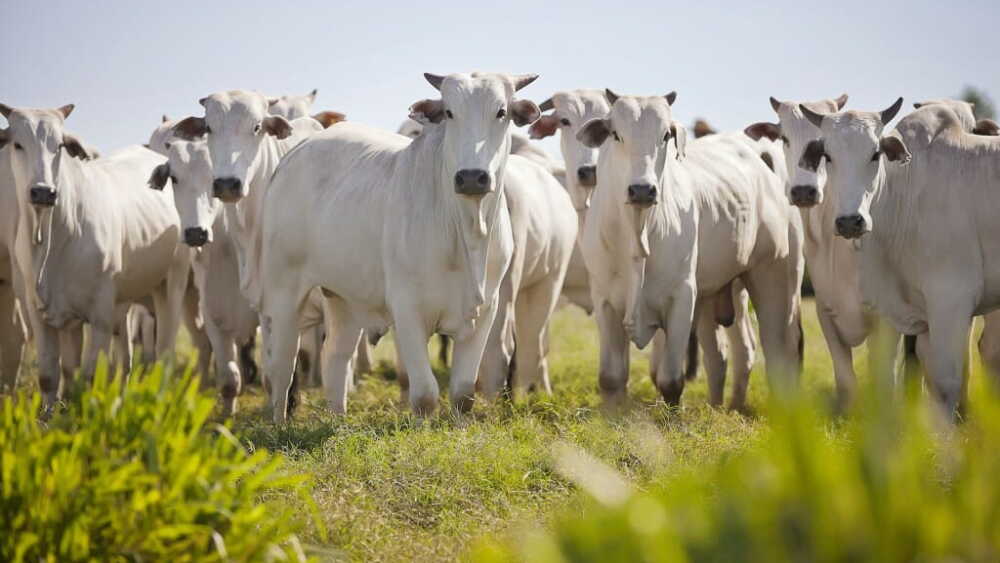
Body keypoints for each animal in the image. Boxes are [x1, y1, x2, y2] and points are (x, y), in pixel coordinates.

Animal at [1, 103, 191, 406]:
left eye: (59, 145)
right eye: (17, 144)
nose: (43, 192)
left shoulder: (99, 315)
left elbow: (90, 377)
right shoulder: (42, 313)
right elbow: (53, 375)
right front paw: (51, 413)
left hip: (172, 283)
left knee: (164, 353)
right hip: (123, 302)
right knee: (125, 360)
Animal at [246, 72, 540, 420]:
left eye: (501, 111)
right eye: (449, 112)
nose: (471, 177)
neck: (467, 232)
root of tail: (297, 151)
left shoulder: (485, 311)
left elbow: (463, 393)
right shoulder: (407, 309)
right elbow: (425, 394)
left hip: (343, 296)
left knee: (335, 356)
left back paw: (338, 419)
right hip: (283, 292)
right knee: (281, 367)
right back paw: (279, 423)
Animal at [576, 91, 803, 407]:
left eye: (665, 136)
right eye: (616, 134)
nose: (642, 190)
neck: (637, 232)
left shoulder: (682, 296)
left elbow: (671, 382)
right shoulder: (605, 300)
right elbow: (611, 379)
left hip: (776, 277)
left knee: (779, 351)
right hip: (719, 293)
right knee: (725, 355)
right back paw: (724, 406)